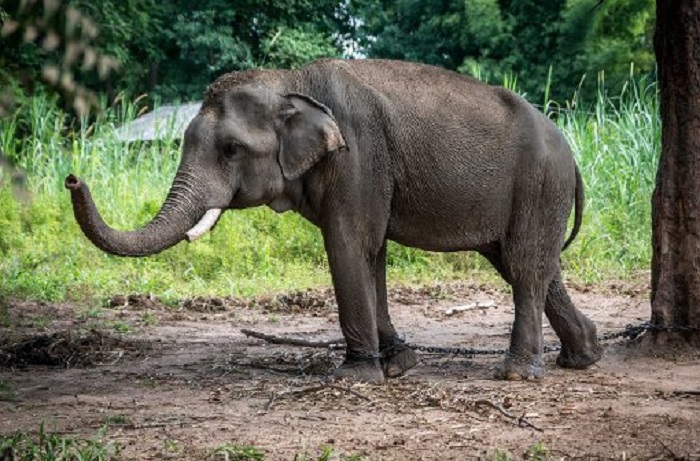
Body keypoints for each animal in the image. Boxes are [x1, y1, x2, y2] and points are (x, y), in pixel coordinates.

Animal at [64, 58, 600, 380]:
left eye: (231, 149)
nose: (72, 178)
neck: (290, 82)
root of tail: (572, 154)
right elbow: (372, 252)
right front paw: (398, 364)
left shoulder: (357, 156)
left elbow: (347, 244)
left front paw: (354, 376)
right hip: (536, 192)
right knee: (528, 264)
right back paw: (584, 356)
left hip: (538, 183)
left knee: (525, 267)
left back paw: (517, 374)